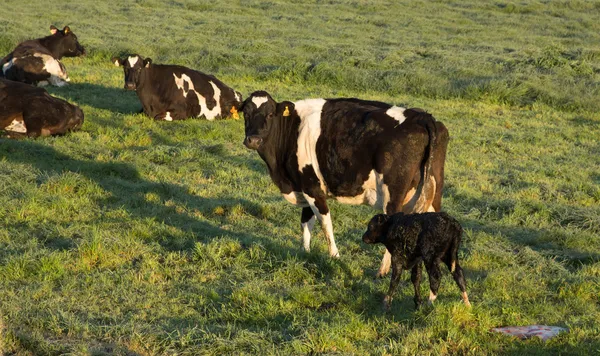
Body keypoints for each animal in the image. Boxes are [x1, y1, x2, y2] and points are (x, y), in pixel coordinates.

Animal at [241, 91, 448, 276]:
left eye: (270, 114)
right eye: (245, 113)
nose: (254, 140)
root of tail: (421, 116)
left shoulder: (312, 187)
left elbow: (324, 223)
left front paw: (335, 256)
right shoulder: (305, 185)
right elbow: (306, 222)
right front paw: (305, 253)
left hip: (393, 193)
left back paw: (382, 271)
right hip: (433, 190)